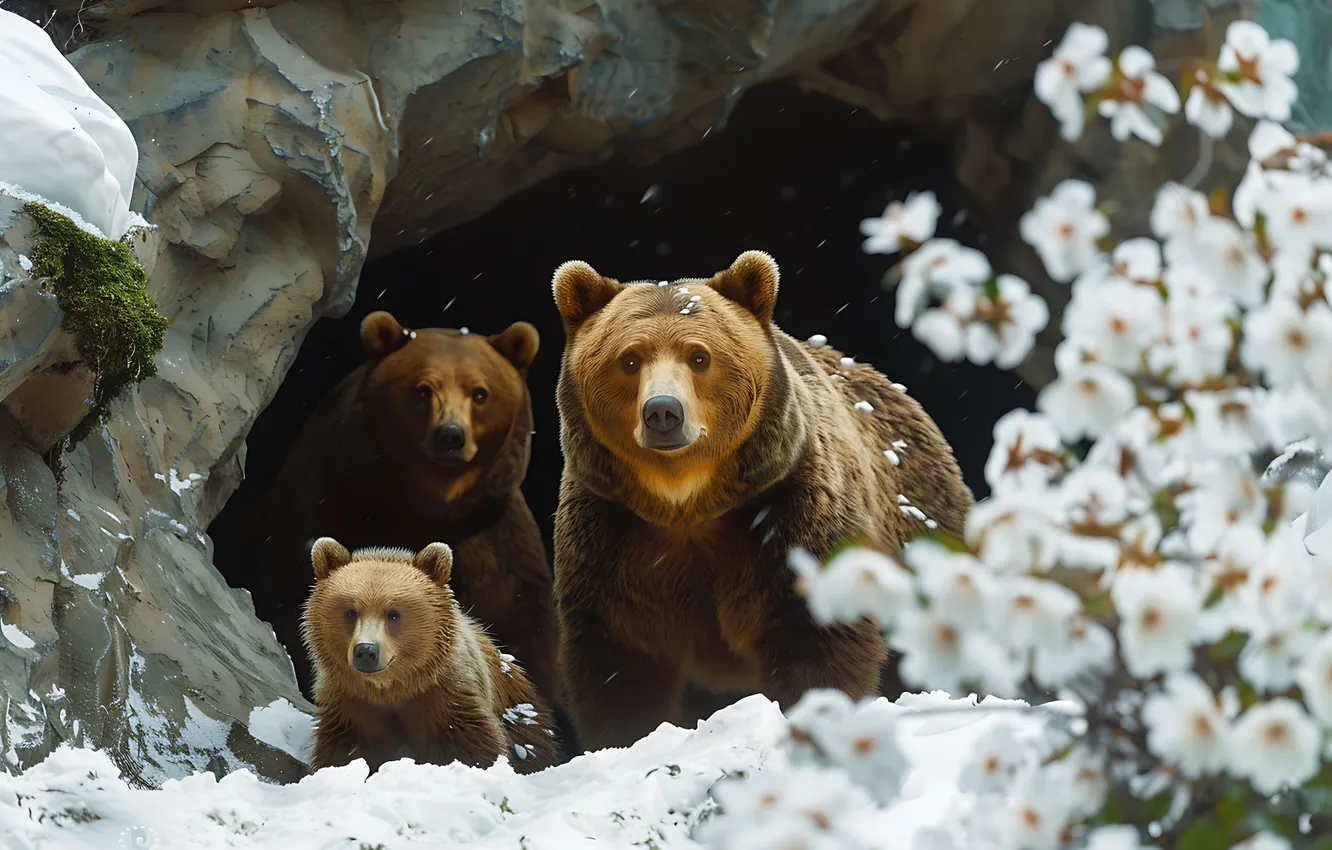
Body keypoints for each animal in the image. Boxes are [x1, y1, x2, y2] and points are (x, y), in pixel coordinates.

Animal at [228, 311, 562, 721]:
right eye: (423, 389)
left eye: (480, 393)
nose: (450, 435)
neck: (425, 505)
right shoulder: (330, 499)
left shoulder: (491, 535)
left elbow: (524, 623)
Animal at [301, 537, 559, 774]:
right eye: (351, 611)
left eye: (393, 614)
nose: (366, 651)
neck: (391, 689)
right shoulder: (351, 703)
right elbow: (345, 749)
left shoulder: (446, 696)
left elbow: (470, 744)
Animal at [550, 249, 974, 751]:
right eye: (629, 359)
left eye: (699, 356)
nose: (663, 412)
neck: (684, 504)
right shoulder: (613, 535)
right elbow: (619, 655)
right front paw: (629, 736)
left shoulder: (786, 507)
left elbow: (815, 627)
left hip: (918, 524)